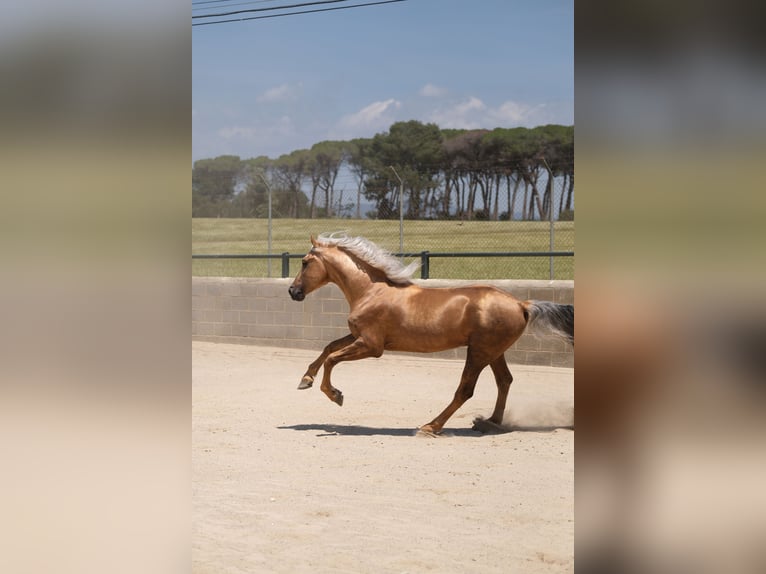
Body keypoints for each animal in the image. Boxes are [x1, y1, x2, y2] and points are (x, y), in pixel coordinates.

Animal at [290, 234, 576, 436]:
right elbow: (328, 348)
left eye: (304, 262)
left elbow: (332, 358)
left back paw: (431, 426)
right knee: (504, 381)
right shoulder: (358, 336)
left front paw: (335, 395)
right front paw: (305, 380)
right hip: (494, 352)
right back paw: (489, 422)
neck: (371, 291)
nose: (293, 292)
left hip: (479, 352)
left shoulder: (372, 346)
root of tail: (521, 304)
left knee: (465, 390)